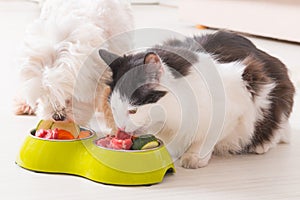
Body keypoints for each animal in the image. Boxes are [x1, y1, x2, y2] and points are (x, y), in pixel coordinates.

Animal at [98, 30, 296, 169]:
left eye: (133, 110)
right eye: (113, 108)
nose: (122, 128)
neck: (171, 117)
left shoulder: (235, 106)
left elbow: (207, 137)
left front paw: (193, 157)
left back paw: (261, 145)